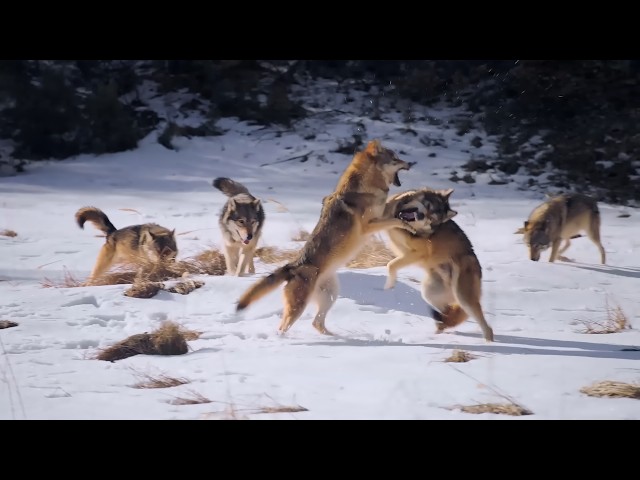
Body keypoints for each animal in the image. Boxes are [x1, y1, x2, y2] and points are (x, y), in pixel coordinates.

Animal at [236, 139, 417, 335]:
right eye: (395, 158)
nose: (411, 163)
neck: (365, 188)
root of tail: (292, 267)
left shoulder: (381, 214)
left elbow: (395, 207)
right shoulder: (369, 225)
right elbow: (395, 220)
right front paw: (409, 224)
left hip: (330, 296)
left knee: (317, 323)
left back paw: (337, 337)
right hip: (298, 309)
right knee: (284, 328)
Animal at [383, 188, 495, 342]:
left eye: (431, 218)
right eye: (428, 206)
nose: (420, 216)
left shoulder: (418, 253)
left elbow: (391, 265)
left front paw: (389, 285)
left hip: (463, 298)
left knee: (485, 326)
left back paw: (489, 343)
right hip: (429, 293)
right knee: (448, 312)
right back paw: (438, 331)